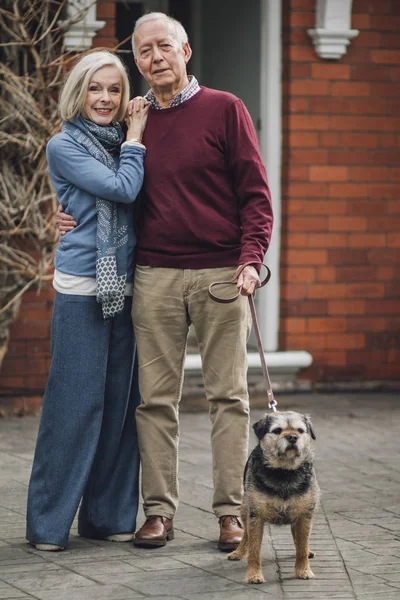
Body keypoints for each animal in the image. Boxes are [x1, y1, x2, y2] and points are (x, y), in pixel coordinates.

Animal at [228, 410, 318, 584]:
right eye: (277, 430)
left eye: (300, 430)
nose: (292, 437)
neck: (284, 472)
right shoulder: (256, 516)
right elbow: (254, 550)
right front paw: (253, 575)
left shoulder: (305, 515)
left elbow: (302, 547)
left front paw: (303, 570)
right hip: (244, 509)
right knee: (246, 534)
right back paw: (239, 552)